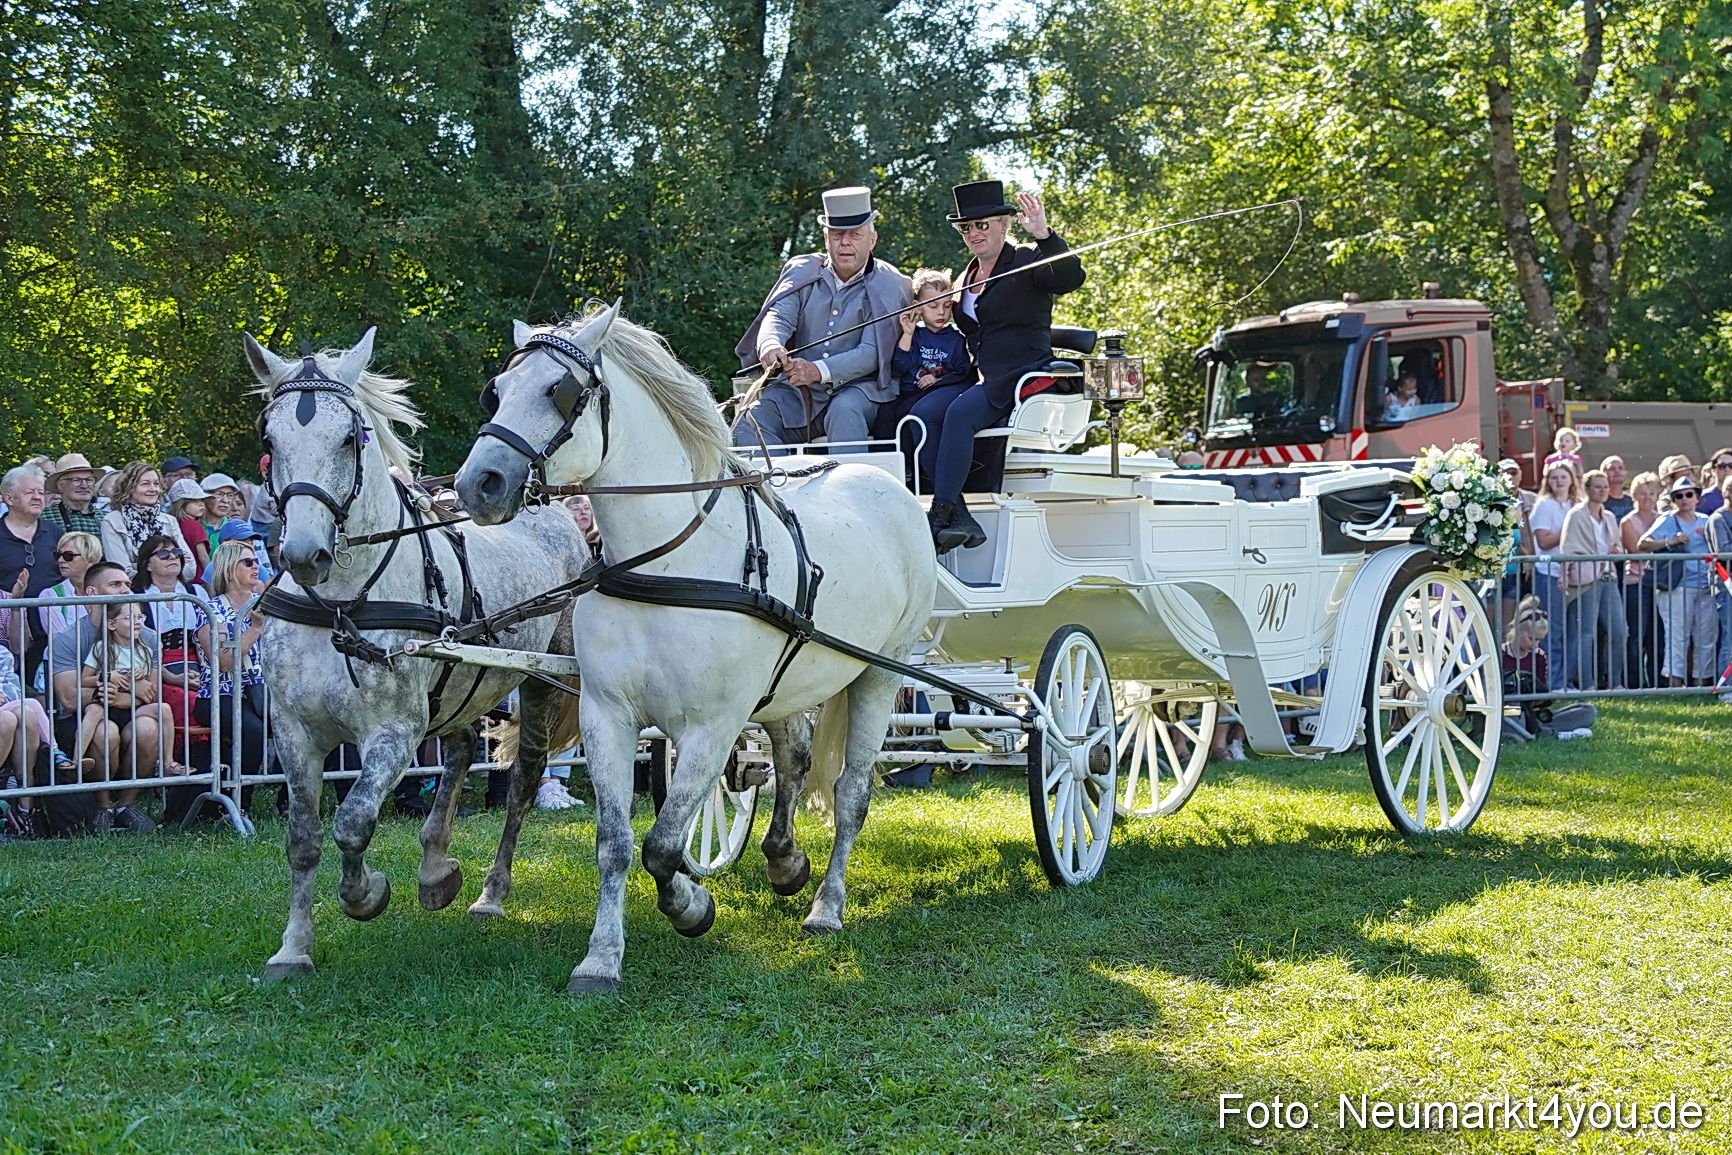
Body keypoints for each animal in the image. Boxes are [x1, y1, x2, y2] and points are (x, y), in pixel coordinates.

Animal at [245, 329, 589, 981]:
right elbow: (302, 839)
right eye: (269, 440)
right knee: (459, 750)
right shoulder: (293, 731)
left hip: (540, 680)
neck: (340, 604)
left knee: (524, 776)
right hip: (462, 678)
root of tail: (549, 502)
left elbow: (353, 823)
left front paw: (365, 894)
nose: (304, 554)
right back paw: (435, 868)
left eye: (350, 438)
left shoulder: (394, 732)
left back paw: (491, 892)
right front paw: (293, 948)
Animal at [453, 303, 936, 994]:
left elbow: (662, 843)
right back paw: (785, 861)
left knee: (850, 794)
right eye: (496, 391)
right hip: (788, 679)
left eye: (559, 392)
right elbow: (618, 842)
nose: (479, 484)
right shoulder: (609, 715)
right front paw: (602, 958)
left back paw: (827, 905)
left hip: (876, 674)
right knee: (791, 758)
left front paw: (689, 906)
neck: (666, 562)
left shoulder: (714, 724)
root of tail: (883, 478)